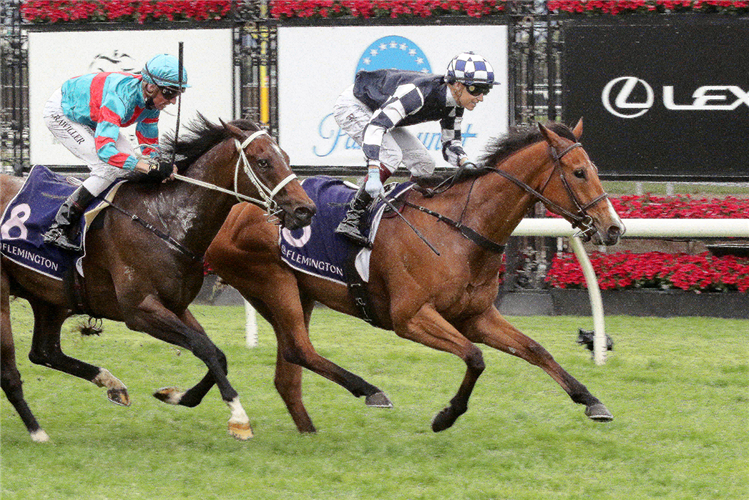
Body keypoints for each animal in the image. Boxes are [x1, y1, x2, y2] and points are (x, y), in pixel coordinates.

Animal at [0, 114, 314, 442]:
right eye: (263, 161)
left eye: (286, 158)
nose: (305, 210)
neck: (163, 219)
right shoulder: (140, 311)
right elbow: (203, 348)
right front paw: (238, 417)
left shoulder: (176, 306)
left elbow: (217, 354)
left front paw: (177, 396)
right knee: (10, 369)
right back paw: (36, 430)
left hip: (49, 298)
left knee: (43, 351)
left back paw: (112, 384)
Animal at [202, 118, 624, 434]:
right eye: (579, 172)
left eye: (595, 170)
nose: (614, 228)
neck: (460, 231)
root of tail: (233, 212)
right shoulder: (411, 318)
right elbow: (475, 357)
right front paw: (447, 415)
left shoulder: (476, 316)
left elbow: (536, 350)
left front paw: (592, 401)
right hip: (274, 282)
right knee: (298, 350)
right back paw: (369, 392)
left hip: (298, 291)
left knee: (288, 372)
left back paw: (309, 429)